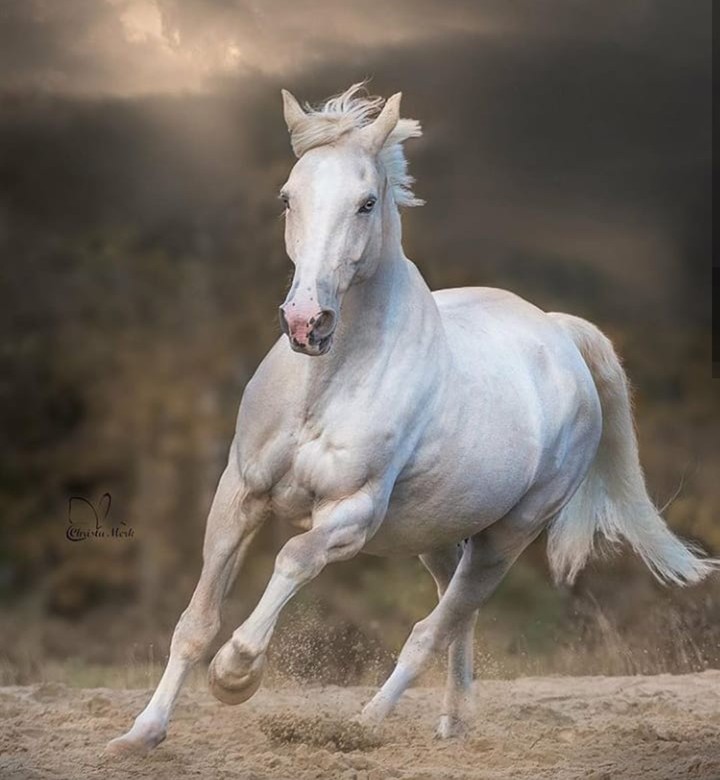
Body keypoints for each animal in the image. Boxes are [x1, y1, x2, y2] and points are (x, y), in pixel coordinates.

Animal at [106, 83, 716, 756]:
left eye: (367, 202)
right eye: (288, 197)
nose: (306, 322)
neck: (326, 383)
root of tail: (559, 333)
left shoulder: (352, 513)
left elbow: (293, 558)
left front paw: (236, 674)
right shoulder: (240, 494)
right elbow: (195, 621)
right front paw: (141, 734)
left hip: (509, 534)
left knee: (434, 626)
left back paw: (363, 725)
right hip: (439, 533)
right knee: (457, 614)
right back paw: (451, 724)